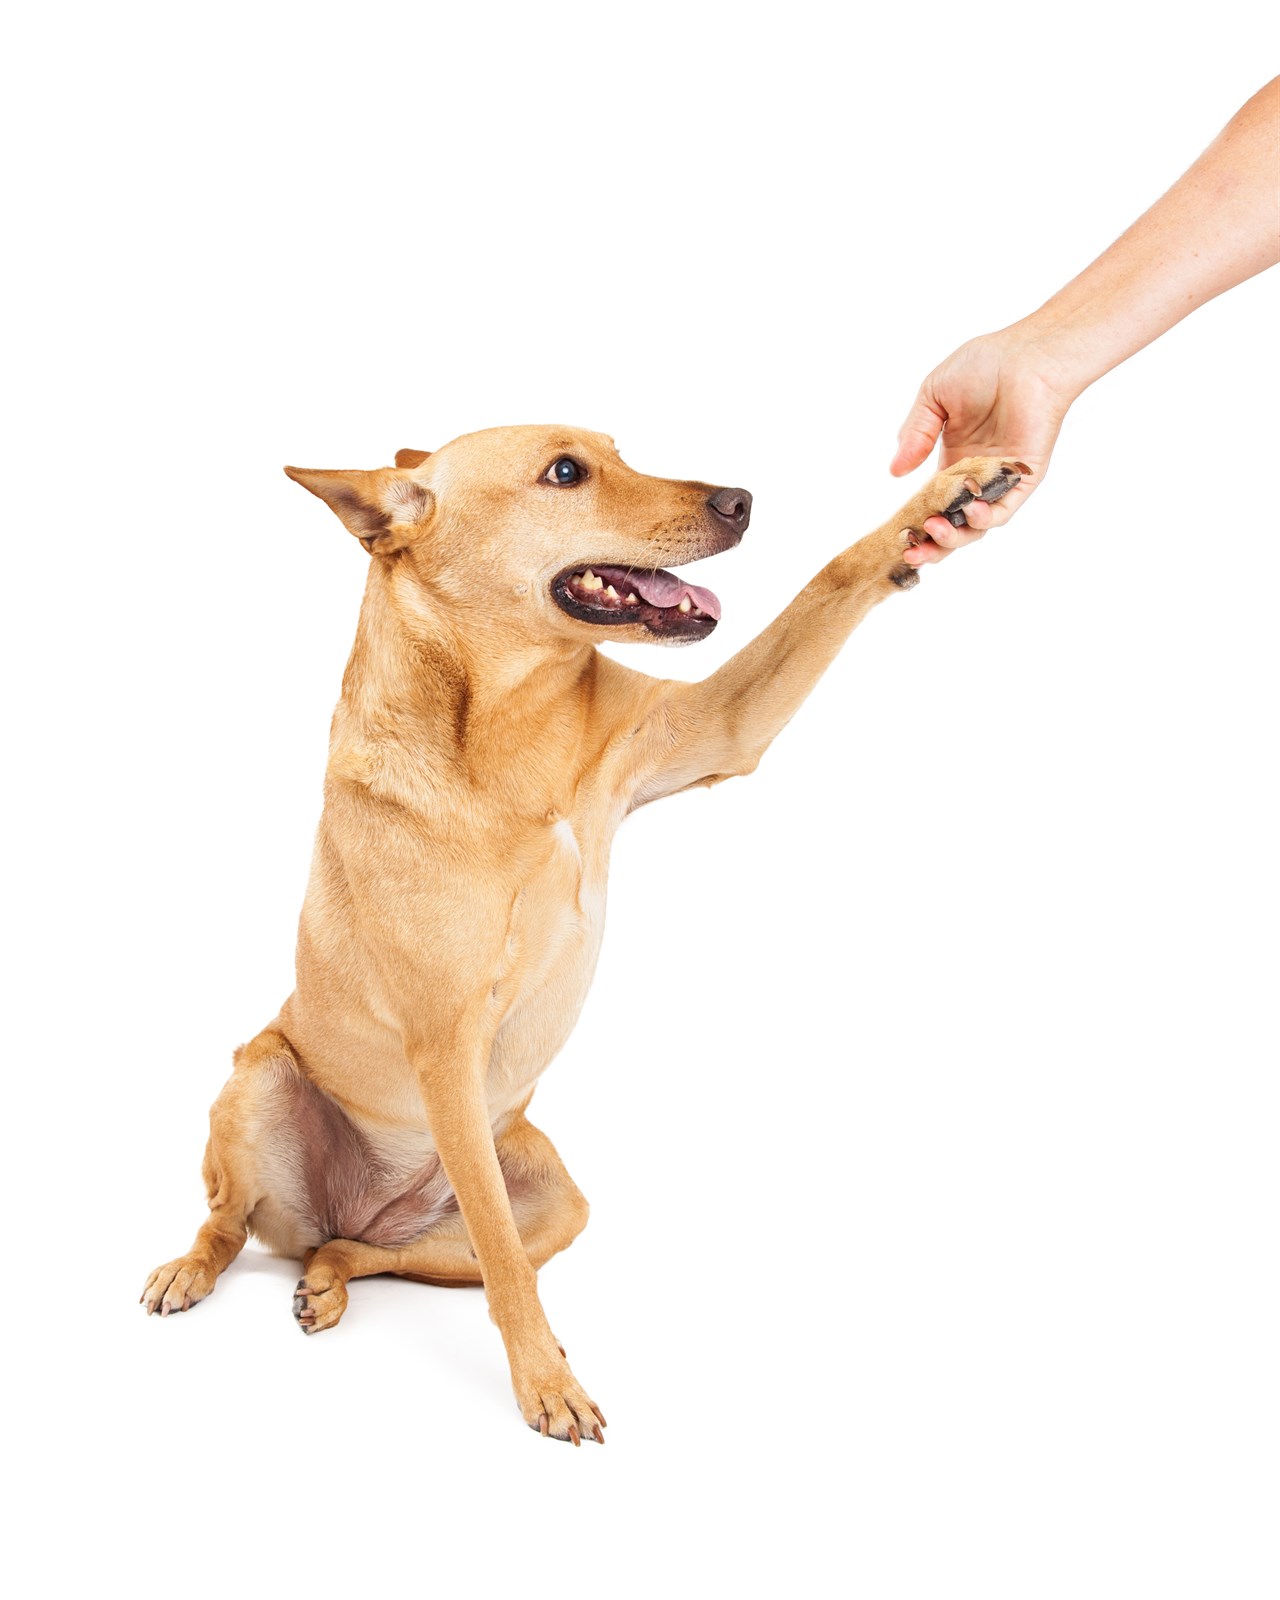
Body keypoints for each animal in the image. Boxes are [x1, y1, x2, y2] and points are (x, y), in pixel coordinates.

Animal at [142, 422, 1017, 1440]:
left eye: (617, 450)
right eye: (565, 471)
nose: (741, 500)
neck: (509, 722)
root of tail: (358, 1209)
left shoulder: (717, 727)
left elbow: (829, 579)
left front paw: (946, 499)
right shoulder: (446, 1042)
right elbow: (502, 1260)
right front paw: (544, 1383)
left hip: (557, 1200)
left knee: (379, 1250)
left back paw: (327, 1279)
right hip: (261, 1076)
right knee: (236, 1221)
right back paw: (189, 1270)